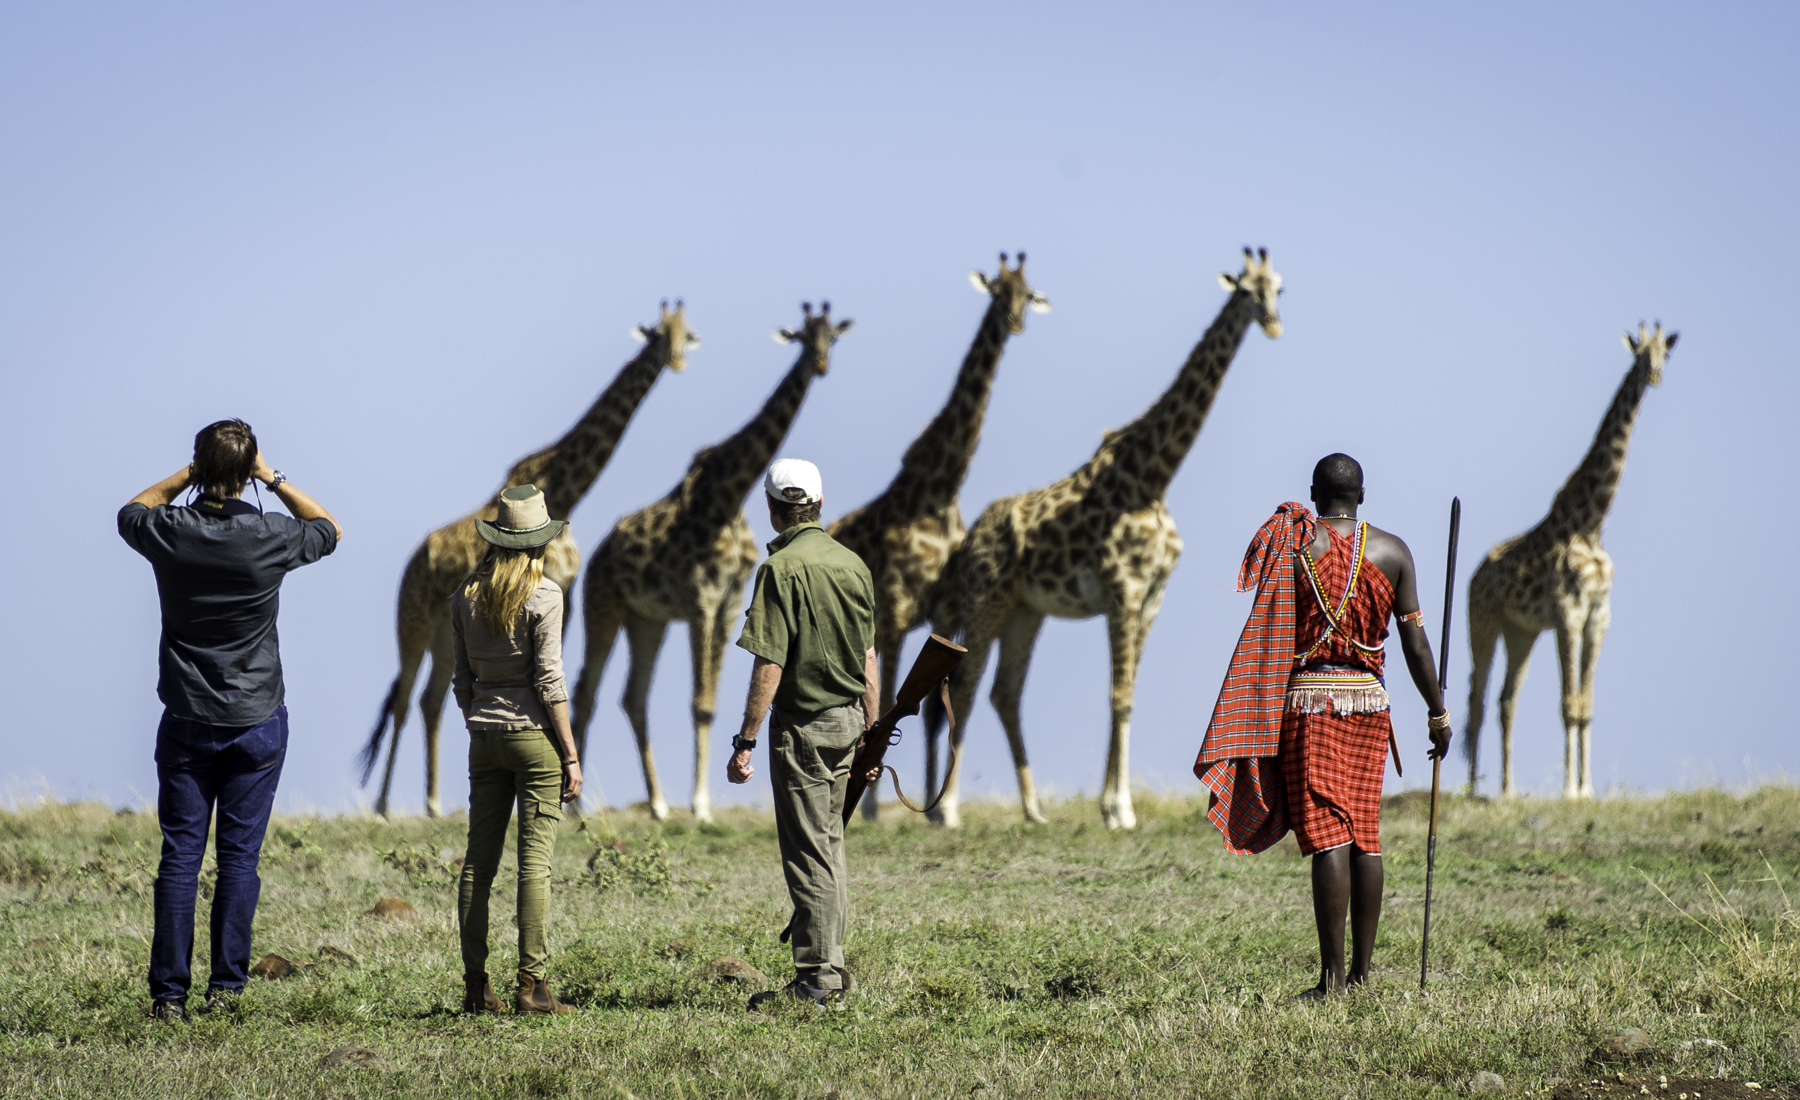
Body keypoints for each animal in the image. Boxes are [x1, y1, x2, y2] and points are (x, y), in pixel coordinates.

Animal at [359, 302, 698, 817]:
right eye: (659, 334)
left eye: (688, 334)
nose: (677, 361)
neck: (566, 489)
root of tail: (413, 563)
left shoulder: (565, 592)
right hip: (411, 618)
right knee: (402, 699)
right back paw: (382, 806)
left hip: (443, 631)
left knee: (430, 699)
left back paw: (433, 803)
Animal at [571, 302, 852, 823]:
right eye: (804, 337)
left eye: (834, 336)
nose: (821, 363)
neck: (729, 495)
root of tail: (598, 555)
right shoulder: (701, 598)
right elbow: (699, 703)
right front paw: (701, 806)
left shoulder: (729, 602)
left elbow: (711, 703)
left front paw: (698, 803)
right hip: (603, 604)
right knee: (586, 690)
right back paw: (577, 804)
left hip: (648, 619)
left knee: (633, 697)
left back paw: (658, 804)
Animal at [829, 253, 1049, 818]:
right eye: (997, 290)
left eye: (1029, 292)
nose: (1015, 322)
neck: (939, 491)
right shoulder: (894, 611)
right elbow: (888, 699)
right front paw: (874, 806)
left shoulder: (946, 610)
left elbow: (931, 710)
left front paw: (936, 807)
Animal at [925, 248, 1283, 829]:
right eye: (1247, 291)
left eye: (1279, 288)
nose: (1273, 323)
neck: (1153, 478)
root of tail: (968, 541)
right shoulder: (1123, 590)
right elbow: (1118, 695)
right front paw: (1119, 809)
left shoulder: (1153, 596)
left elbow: (1128, 693)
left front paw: (1111, 805)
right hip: (987, 600)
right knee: (967, 685)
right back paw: (947, 811)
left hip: (1026, 611)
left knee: (1005, 693)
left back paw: (1033, 809)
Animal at [1463, 322, 1676, 800]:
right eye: (1639, 355)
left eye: (1665, 355)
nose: (1654, 376)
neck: (1591, 524)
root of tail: (1474, 575)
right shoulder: (1568, 613)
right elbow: (1568, 704)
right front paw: (1568, 791)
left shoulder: (1599, 615)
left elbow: (1586, 706)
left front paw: (1587, 789)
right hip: (1483, 622)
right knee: (1477, 700)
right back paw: (1470, 788)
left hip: (1520, 631)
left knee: (1506, 701)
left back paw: (1506, 789)